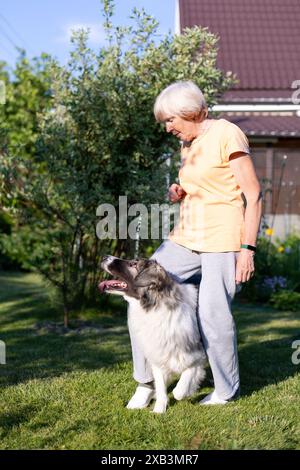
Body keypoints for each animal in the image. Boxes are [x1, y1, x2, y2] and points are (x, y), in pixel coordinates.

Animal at [98, 255, 206, 414]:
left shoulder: (197, 356)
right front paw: (159, 410)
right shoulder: (158, 357)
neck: (155, 307)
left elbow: (182, 384)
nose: (105, 256)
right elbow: (161, 387)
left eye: (133, 264)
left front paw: (184, 392)